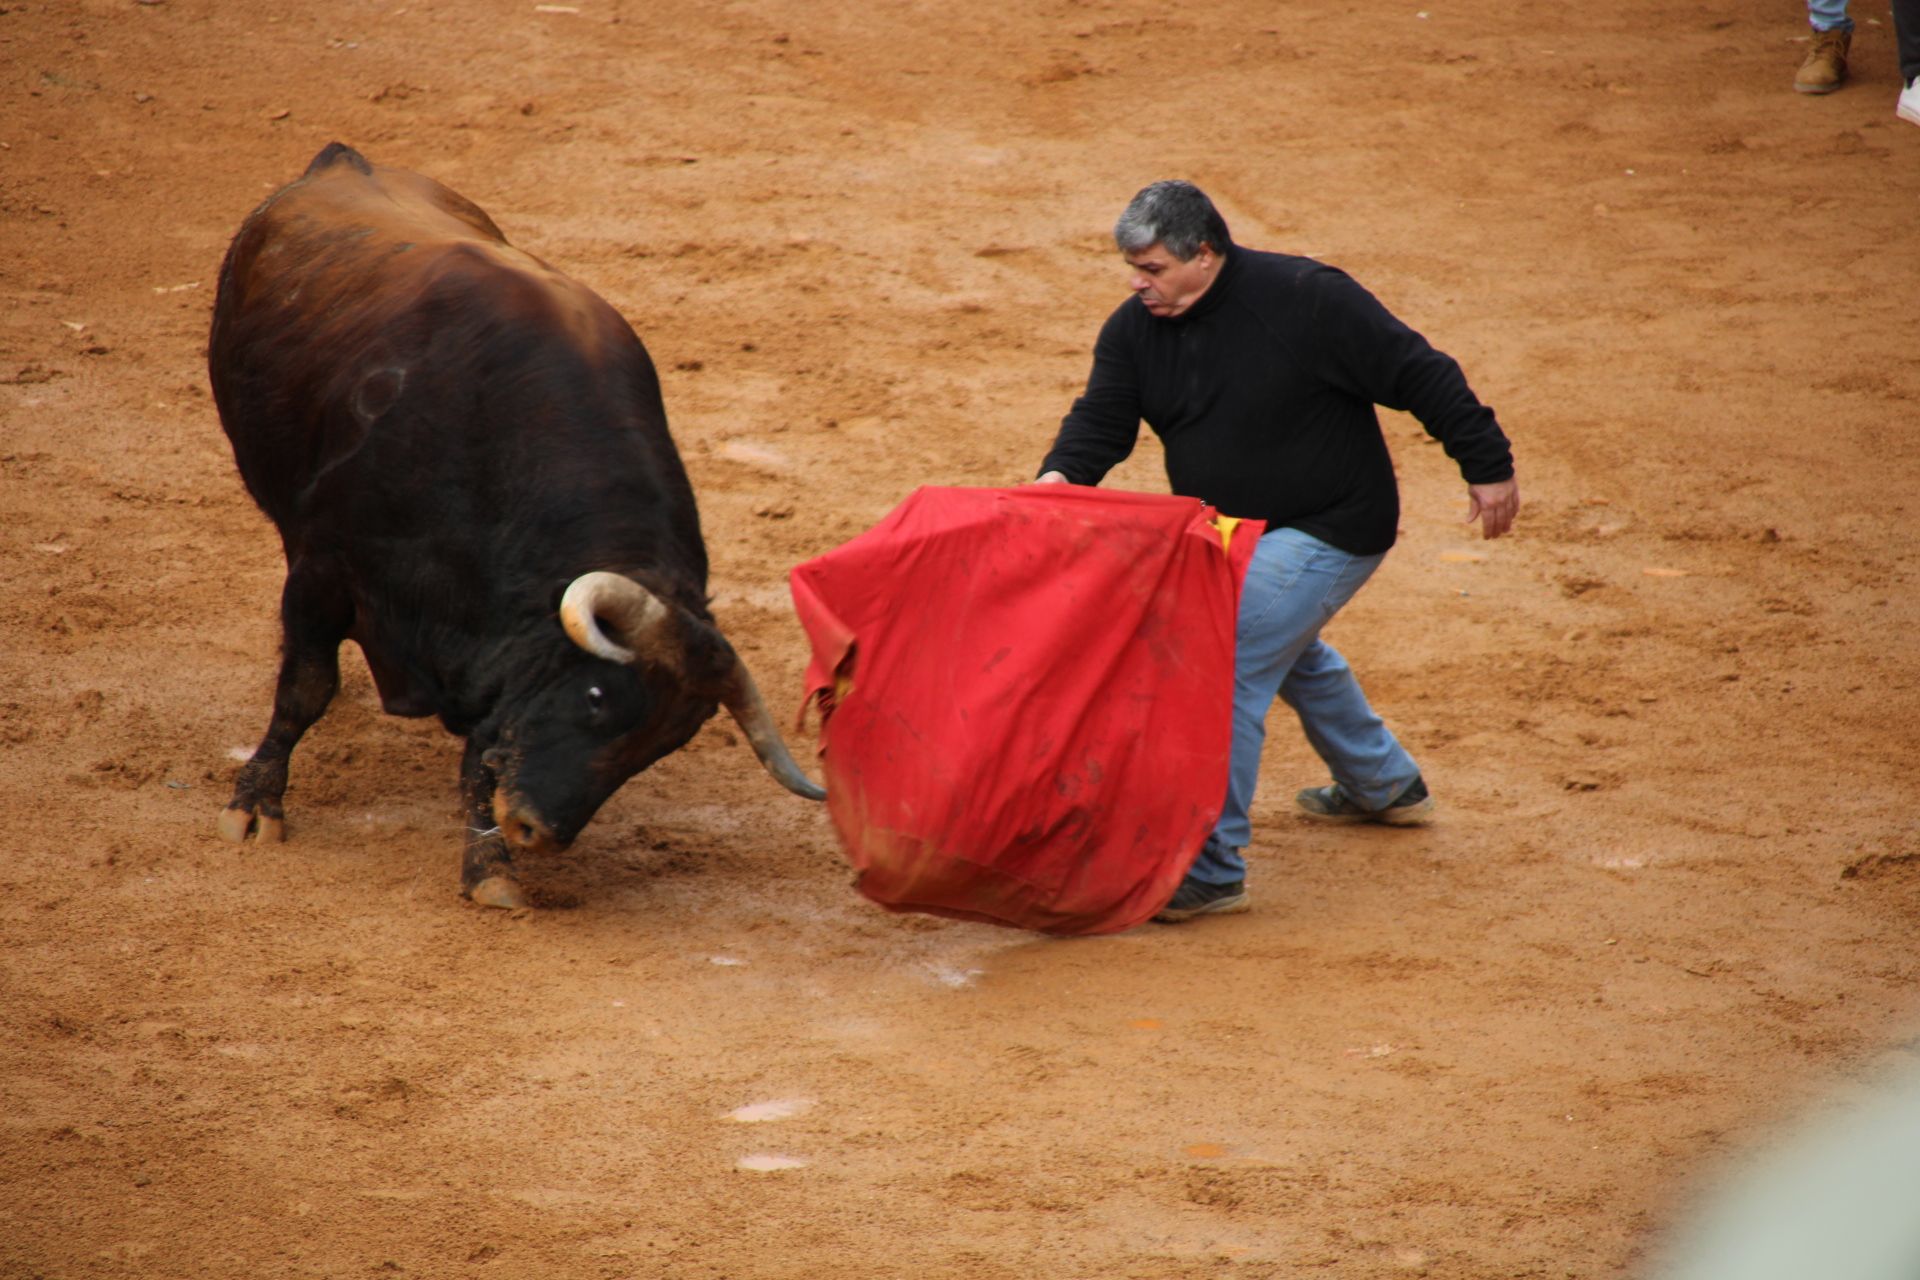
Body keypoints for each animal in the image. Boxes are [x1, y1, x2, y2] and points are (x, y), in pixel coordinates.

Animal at [212, 142, 825, 909]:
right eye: (596, 695)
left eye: (666, 743)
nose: (538, 830)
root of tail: (339, 162)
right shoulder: (325, 569)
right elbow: (305, 689)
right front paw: (255, 805)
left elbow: (483, 755)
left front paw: (491, 868)